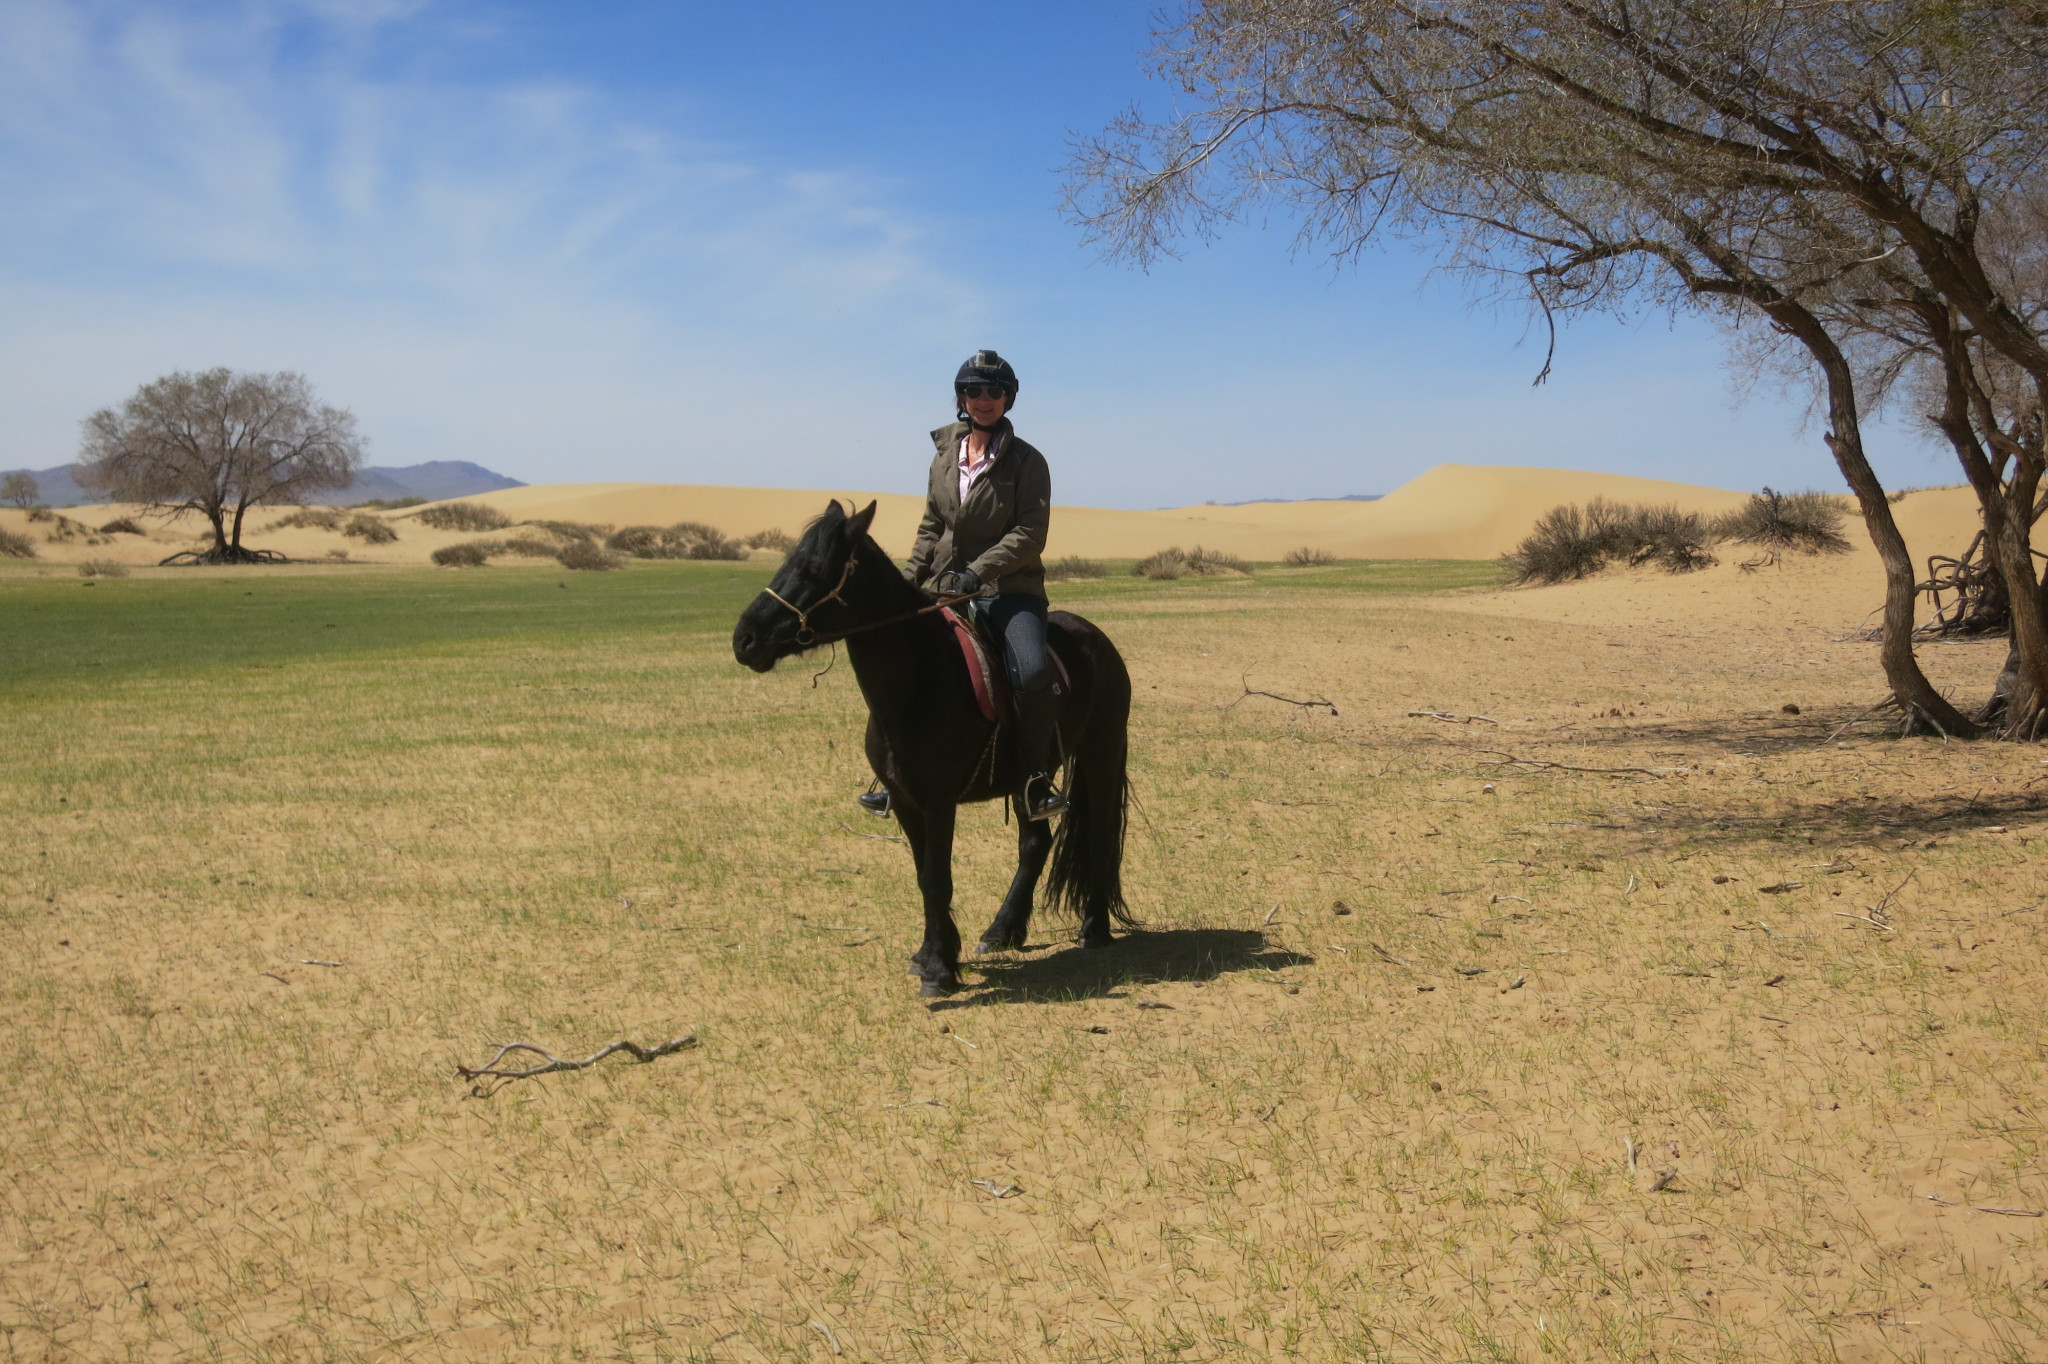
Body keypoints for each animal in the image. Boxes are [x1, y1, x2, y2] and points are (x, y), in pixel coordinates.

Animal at [731, 501, 1133, 997]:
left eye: (815, 569)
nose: (744, 639)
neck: (919, 679)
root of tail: (1099, 640)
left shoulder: (939, 801)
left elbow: (938, 877)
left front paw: (940, 970)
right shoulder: (905, 800)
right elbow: (924, 875)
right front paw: (931, 953)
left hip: (1101, 754)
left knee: (1099, 834)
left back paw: (1094, 928)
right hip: (1029, 780)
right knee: (1035, 842)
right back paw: (1002, 930)